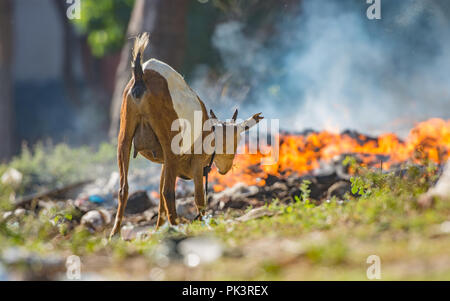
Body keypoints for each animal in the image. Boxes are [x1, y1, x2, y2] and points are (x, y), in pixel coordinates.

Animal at [110, 32, 264, 238]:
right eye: (237, 140)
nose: (225, 169)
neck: (211, 133)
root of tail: (141, 75)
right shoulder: (195, 164)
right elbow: (199, 198)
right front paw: (204, 223)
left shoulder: (167, 163)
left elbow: (160, 197)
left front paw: (158, 229)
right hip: (170, 142)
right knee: (168, 191)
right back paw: (176, 226)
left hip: (125, 135)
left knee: (124, 188)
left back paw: (115, 235)